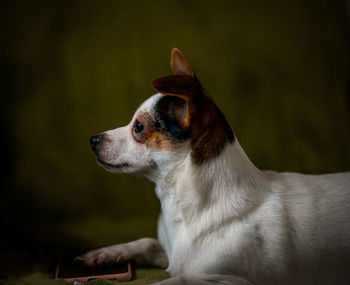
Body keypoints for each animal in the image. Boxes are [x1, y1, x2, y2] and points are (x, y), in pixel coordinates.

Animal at [78, 48, 350, 284]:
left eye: (138, 127)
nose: (93, 140)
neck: (177, 204)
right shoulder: (171, 254)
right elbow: (148, 241)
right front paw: (106, 253)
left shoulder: (224, 279)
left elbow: (173, 281)